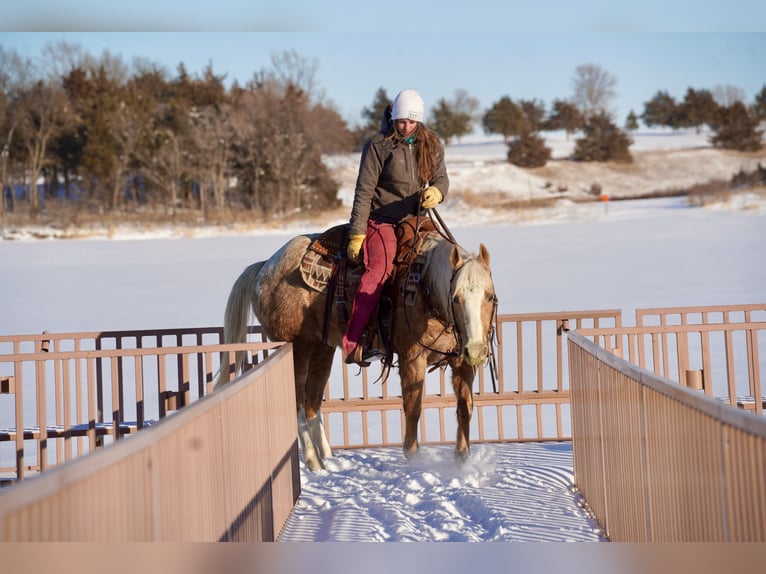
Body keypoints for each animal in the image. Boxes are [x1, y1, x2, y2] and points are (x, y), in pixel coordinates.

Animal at [218, 222, 498, 472]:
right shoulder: (411, 359)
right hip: (297, 348)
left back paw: (328, 459)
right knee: (297, 402)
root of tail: (264, 267)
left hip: (322, 348)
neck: (425, 287)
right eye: (456, 298)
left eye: (489, 296)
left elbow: (465, 408)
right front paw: (414, 460)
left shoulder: (460, 361)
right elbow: (413, 409)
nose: (476, 350)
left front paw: (462, 461)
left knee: (312, 402)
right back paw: (312, 460)